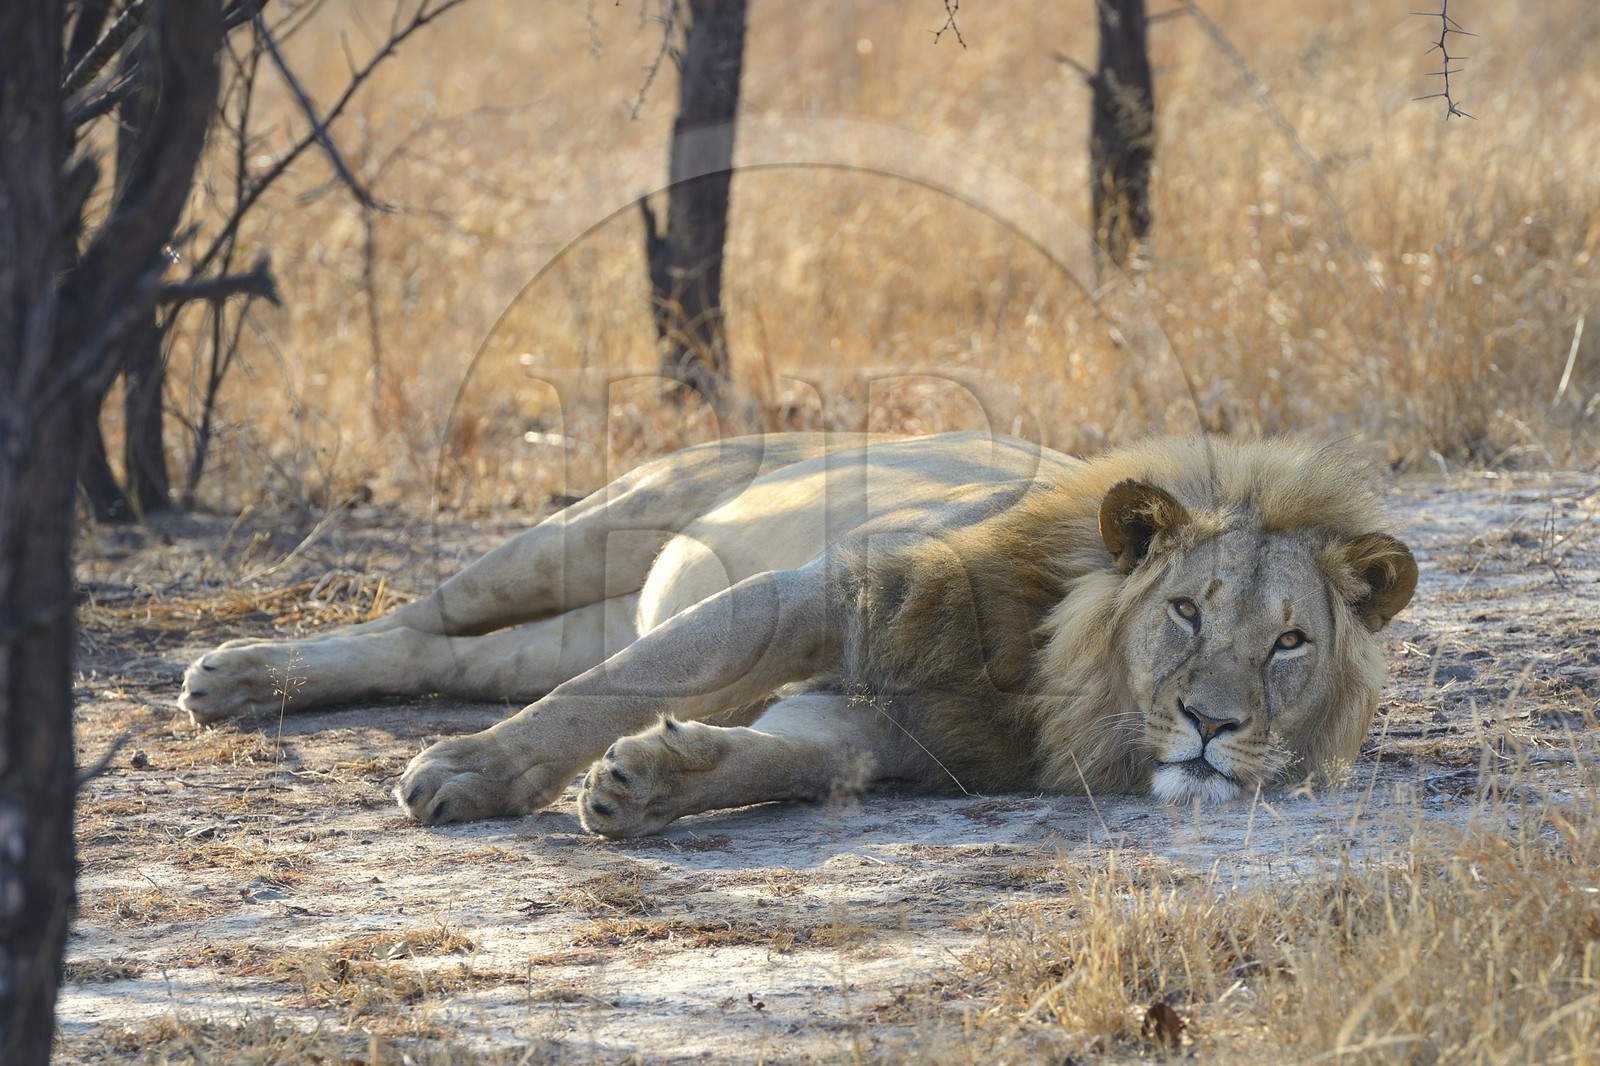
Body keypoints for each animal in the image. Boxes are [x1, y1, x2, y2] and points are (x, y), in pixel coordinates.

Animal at [179, 431, 1417, 837]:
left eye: (1289, 644)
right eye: (1185, 609)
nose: (1210, 726)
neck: (1063, 682)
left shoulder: (882, 733)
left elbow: (783, 758)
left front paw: (650, 782)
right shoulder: (824, 591)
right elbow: (630, 682)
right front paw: (471, 777)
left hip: (568, 616)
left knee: (447, 656)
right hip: (597, 523)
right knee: (415, 617)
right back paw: (236, 675)